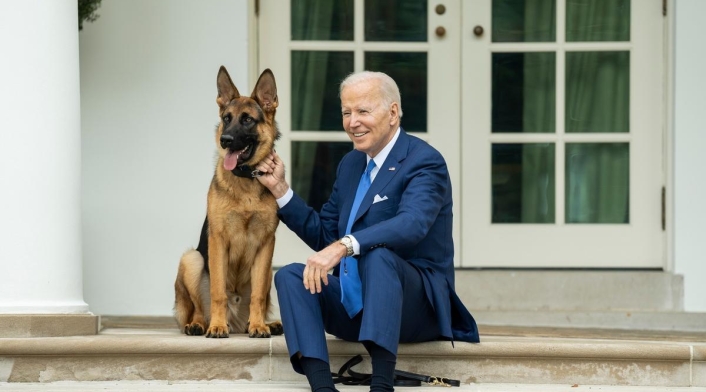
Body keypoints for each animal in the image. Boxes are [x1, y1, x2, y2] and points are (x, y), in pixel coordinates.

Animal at [173, 66, 284, 336]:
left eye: (247, 120)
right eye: (226, 118)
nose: (225, 139)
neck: (246, 179)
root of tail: (236, 323)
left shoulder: (266, 244)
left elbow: (257, 296)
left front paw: (259, 326)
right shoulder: (218, 241)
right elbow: (218, 291)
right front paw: (217, 326)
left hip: (269, 271)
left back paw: (265, 324)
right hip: (192, 259)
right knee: (199, 308)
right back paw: (200, 325)